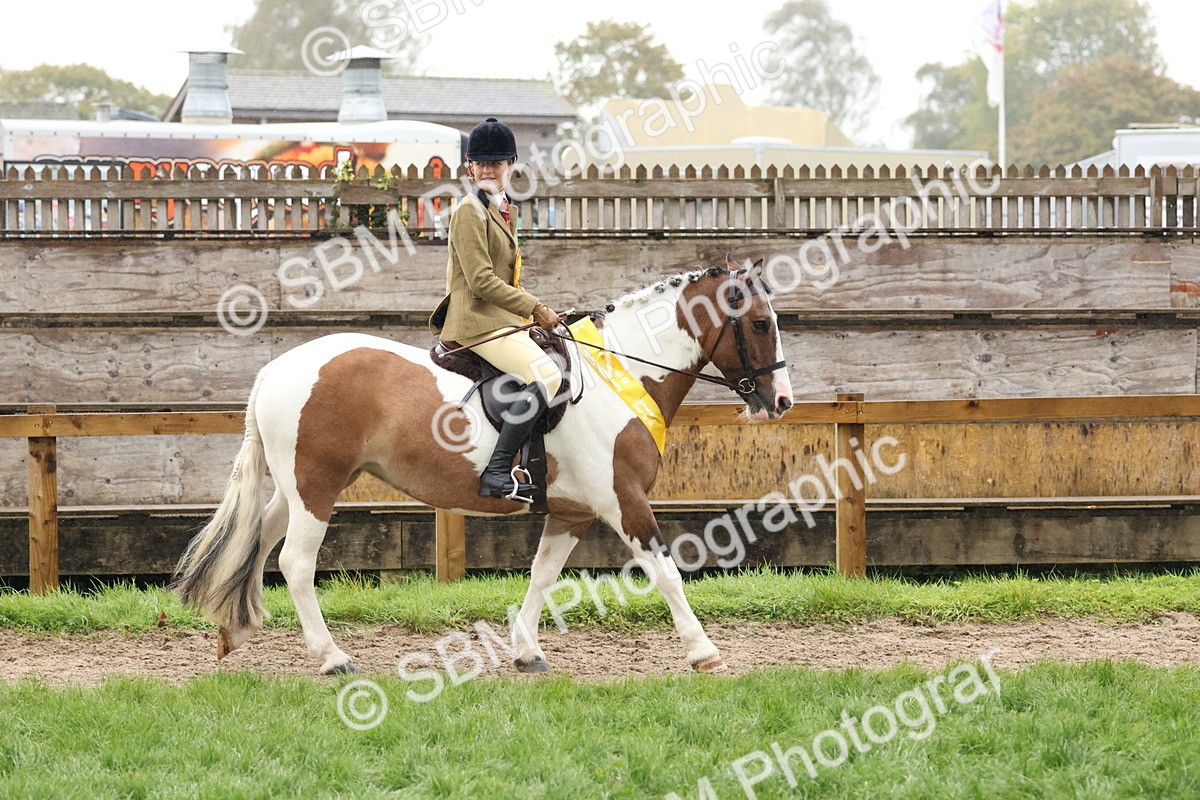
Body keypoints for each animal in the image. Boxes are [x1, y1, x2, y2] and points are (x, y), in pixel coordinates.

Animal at [174, 259, 794, 675]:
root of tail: (276, 369)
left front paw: (526, 652)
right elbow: (665, 571)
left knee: (258, 539)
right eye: (761, 324)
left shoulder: (571, 513)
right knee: (296, 563)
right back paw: (332, 658)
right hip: (316, 487)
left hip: (299, 488)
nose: (782, 401)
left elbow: (542, 576)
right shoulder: (622, 502)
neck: (620, 375)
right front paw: (703, 651)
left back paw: (233, 634)